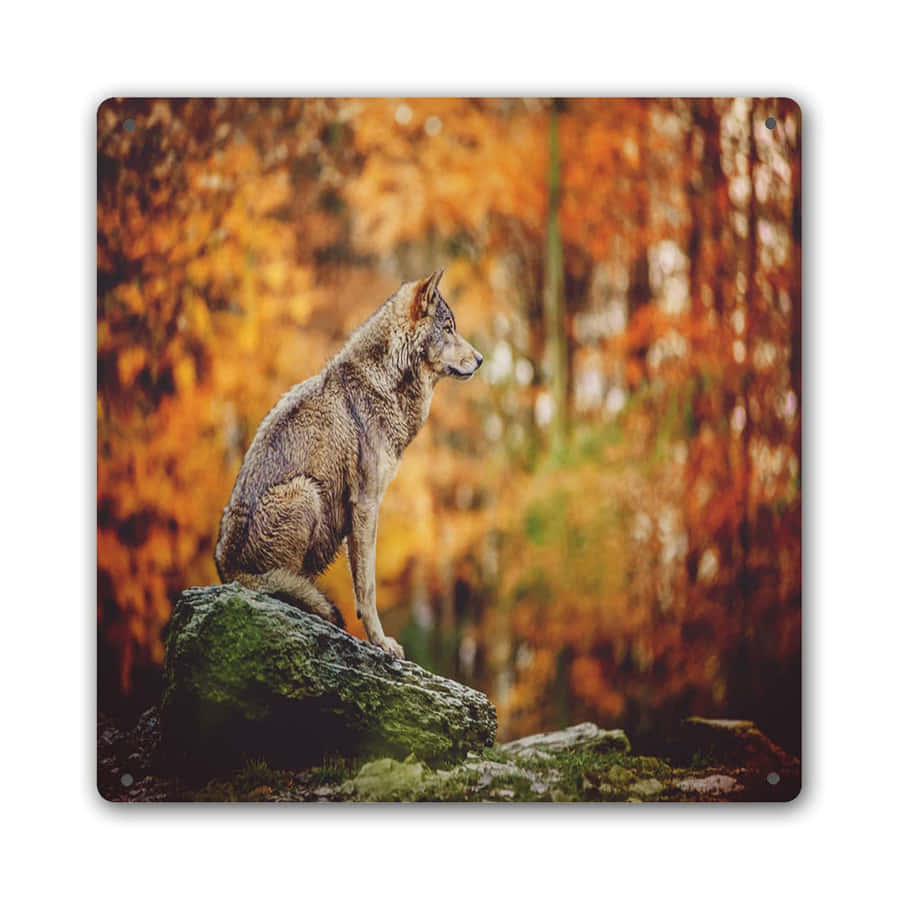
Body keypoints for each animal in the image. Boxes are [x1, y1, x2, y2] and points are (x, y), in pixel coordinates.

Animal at [214, 270, 482, 658]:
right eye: (448, 328)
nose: (481, 359)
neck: (384, 383)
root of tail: (226, 570)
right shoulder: (367, 504)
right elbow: (367, 589)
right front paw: (381, 643)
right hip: (306, 492)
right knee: (282, 586)